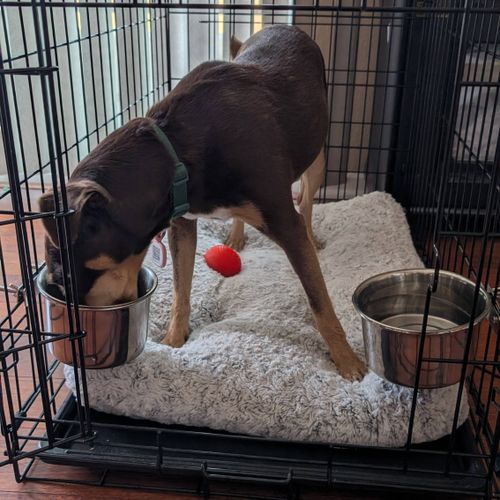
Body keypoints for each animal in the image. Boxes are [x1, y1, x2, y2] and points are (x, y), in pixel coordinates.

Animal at [39, 26, 366, 378]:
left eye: (64, 278)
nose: (79, 338)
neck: (174, 151)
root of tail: (285, 27)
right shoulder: (181, 223)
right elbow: (181, 290)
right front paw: (173, 339)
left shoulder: (284, 223)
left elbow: (321, 302)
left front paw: (348, 361)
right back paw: (236, 236)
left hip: (316, 157)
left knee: (306, 204)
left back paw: (310, 234)